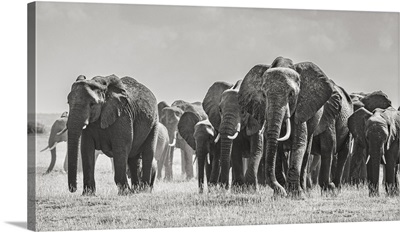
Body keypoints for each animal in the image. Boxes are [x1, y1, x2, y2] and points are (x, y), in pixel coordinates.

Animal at [238, 55, 354, 196]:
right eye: (264, 95)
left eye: (291, 94)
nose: (280, 190)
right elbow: (277, 148)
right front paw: (281, 193)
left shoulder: (304, 107)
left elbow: (303, 143)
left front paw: (296, 194)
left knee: (328, 152)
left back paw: (320, 189)